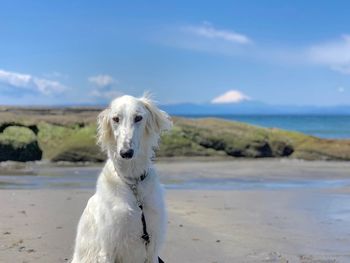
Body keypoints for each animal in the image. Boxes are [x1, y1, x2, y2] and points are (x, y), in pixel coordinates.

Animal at [72, 95, 172, 263]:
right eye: (115, 119)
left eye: (138, 118)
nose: (126, 153)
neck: (133, 183)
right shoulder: (107, 248)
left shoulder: (153, 247)